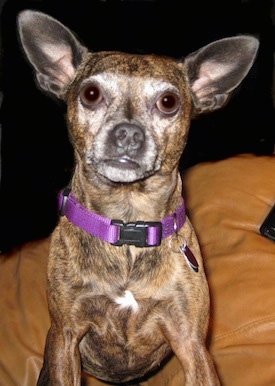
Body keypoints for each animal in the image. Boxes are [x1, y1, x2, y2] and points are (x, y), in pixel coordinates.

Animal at [18, 9, 260, 386]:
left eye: (169, 102)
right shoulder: (66, 335)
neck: (128, 224)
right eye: (90, 93)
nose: (128, 133)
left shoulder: (190, 342)